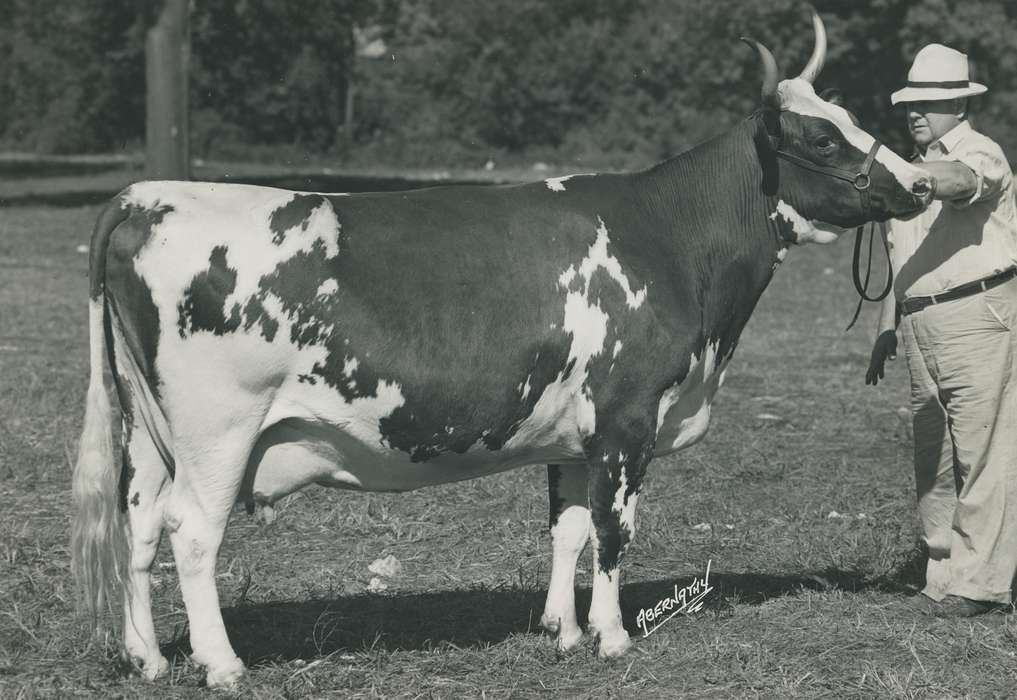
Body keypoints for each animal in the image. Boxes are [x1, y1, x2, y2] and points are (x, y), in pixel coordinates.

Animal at [71, 11, 933, 688]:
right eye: (821, 136)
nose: (920, 184)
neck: (671, 238)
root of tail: (151, 194)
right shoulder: (627, 419)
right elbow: (614, 531)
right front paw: (611, 638)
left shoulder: (576, 433)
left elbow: (568, 527)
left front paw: (562, 630)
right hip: (218, 430)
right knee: (191, 531)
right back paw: (220, 663)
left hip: (152, 434)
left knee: (140, 524)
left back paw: (148, 658)